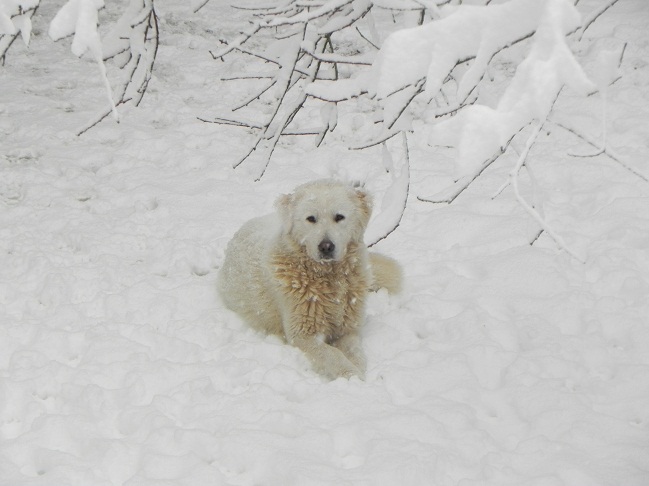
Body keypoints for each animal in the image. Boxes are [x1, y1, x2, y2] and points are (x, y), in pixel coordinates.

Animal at [218, 179, 402, 380]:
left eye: (339, 217)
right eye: (311, 219)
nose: (326, 246)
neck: (329, 277)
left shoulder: (348, 329)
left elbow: (355, 352)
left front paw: (358, 372)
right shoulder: (302, 335)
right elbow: (333, 354)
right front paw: (352, 376)